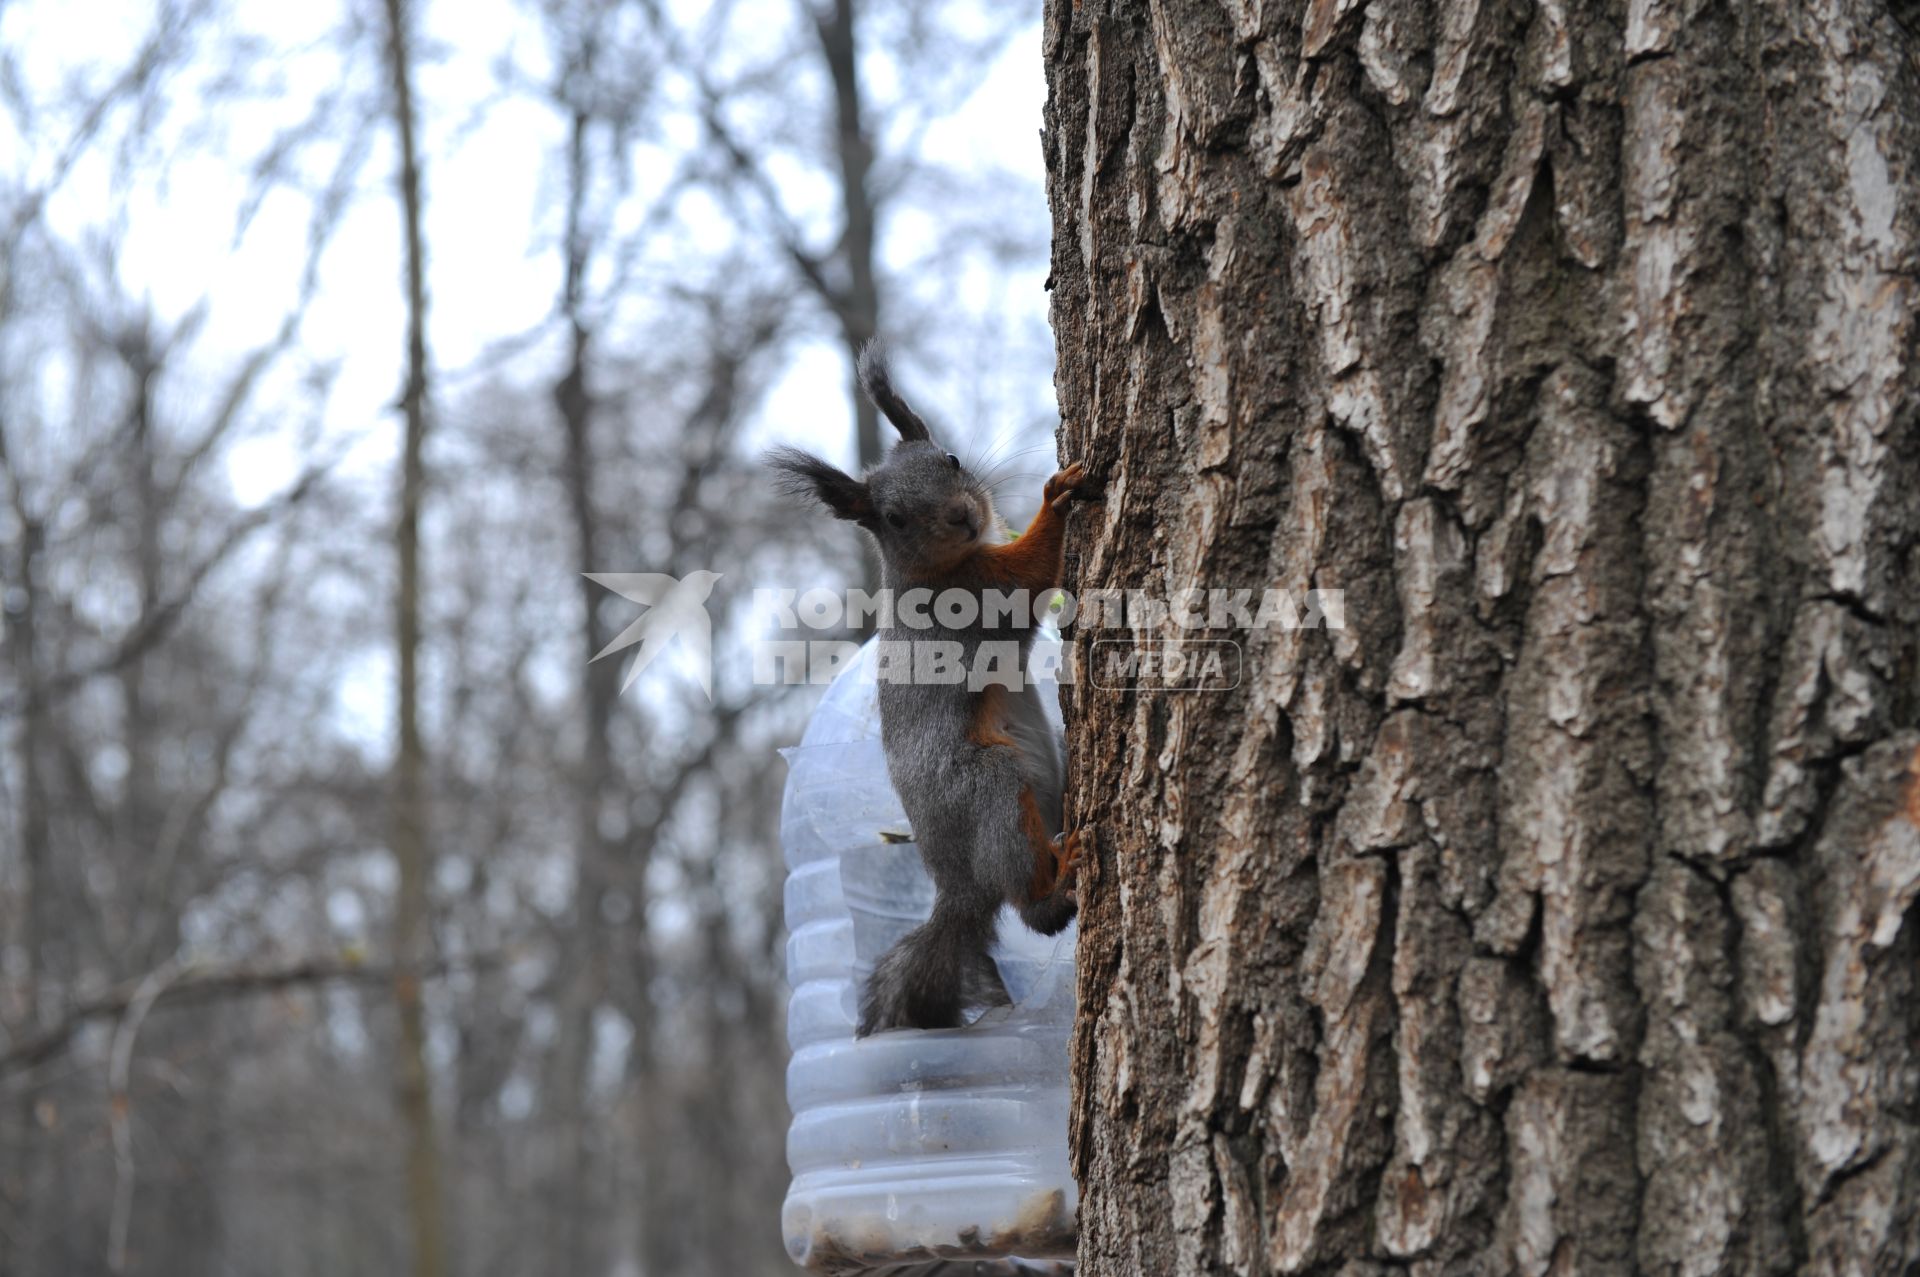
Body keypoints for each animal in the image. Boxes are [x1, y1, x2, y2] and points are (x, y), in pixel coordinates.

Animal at [768, 343, 1098, 1029]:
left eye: (950, 459)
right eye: (894, 517)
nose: (963, 515)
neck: (937, 568)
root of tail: (957, 889)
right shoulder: (978, 596)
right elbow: (1028, 574)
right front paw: (1055, 497)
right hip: (990, 788)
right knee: (1031, 909)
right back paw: (1060, 883)